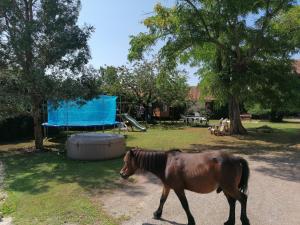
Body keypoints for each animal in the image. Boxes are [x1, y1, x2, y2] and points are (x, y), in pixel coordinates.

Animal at [120, 148, 251, 225]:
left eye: (126, 161)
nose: (122, 174)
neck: (166, 163)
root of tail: (235, 158)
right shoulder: (167, 186)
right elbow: (162, 200)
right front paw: (157, 214)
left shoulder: (178, 189)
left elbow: (185, 205)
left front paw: (191, 221)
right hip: (226, 188)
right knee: (232, 202)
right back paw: (230, 221)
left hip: (229, 187)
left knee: (243, 199)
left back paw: (244, 220)